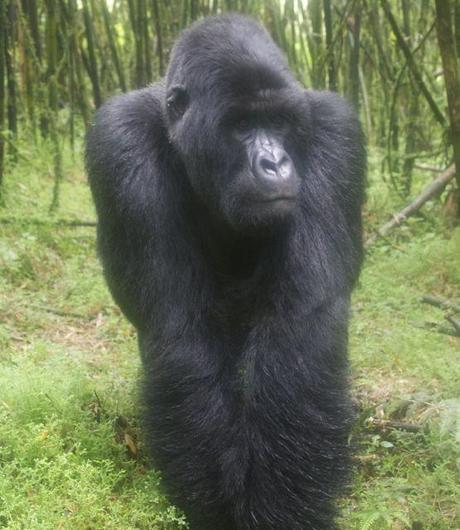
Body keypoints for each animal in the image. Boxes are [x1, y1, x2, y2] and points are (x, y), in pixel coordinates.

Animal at [86, 12, 366, 528]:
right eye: (240, 126)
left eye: (279, 122)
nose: (274, 162)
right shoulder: (119, 141)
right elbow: (182, 331)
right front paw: (217, 505)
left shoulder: (337, 131)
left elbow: (300, 328)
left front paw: (281, 506)